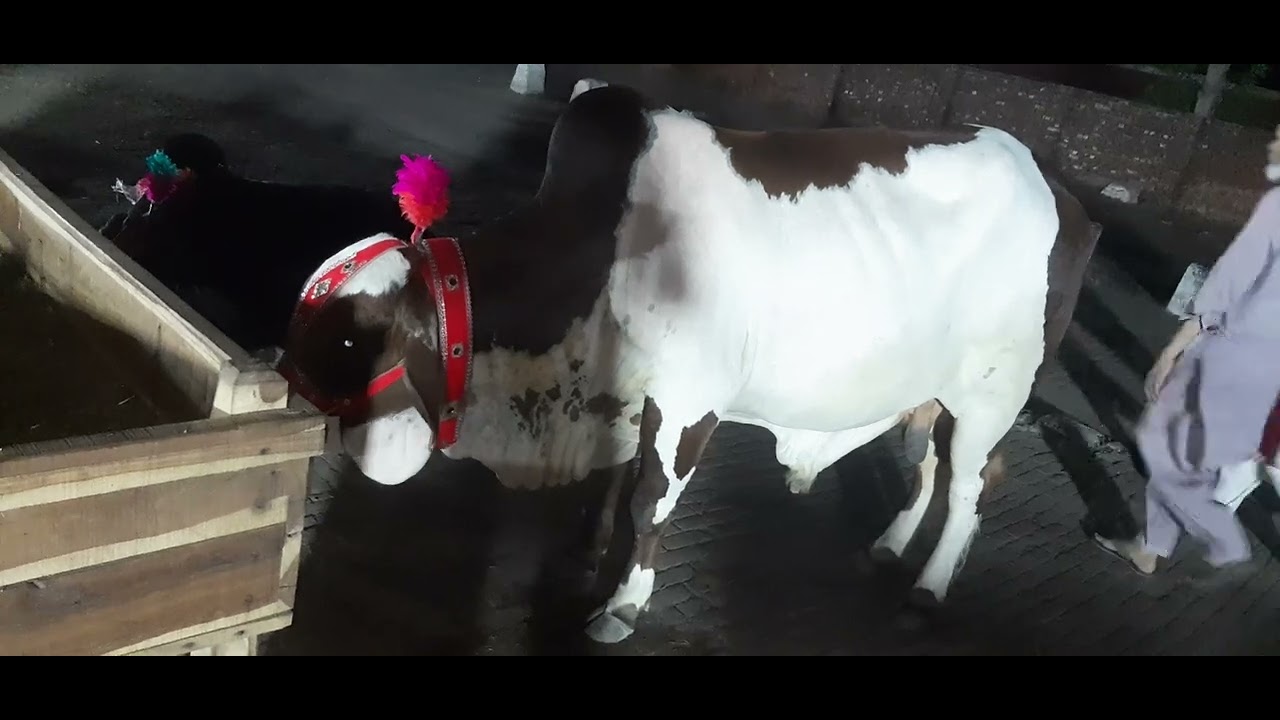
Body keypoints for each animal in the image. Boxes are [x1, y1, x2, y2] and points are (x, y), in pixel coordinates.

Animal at [276, 82, 1101, 645]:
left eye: (348, 340)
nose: (281, 389)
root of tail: (1063, 193)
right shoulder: (620, 393)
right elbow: (612, 488)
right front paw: (586, 550)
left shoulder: (687, 400)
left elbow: (649, 501)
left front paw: (622, 602)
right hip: (935, 390)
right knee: (930, 464)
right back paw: (890, 548)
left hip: (995, 391)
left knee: (967, 489)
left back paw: (926, 591)